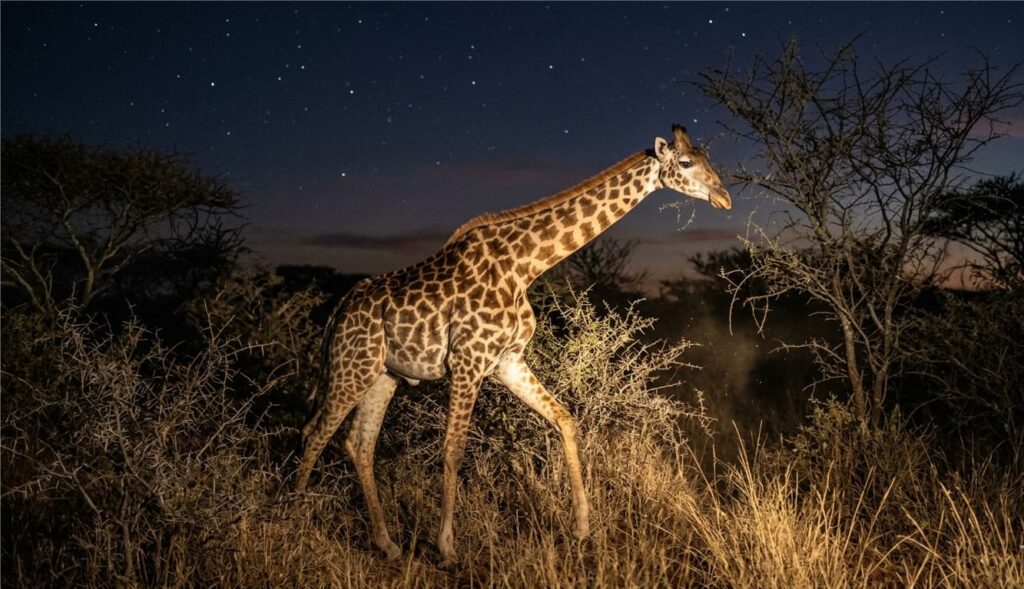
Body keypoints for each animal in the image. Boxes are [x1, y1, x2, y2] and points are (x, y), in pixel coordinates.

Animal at [294, 124, 731, 565]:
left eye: (708, 158)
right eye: (687, 162)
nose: (724, 197)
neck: (525, 266)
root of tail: (339, 311)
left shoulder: (507, 362)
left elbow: (565, 420)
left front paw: (582, 528)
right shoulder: (468, 361)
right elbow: (454, 449)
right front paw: (446, 546)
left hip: (383, 375)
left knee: (358, 444)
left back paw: (386, 543)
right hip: (353, 366)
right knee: (314, 432)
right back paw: (291, 519)